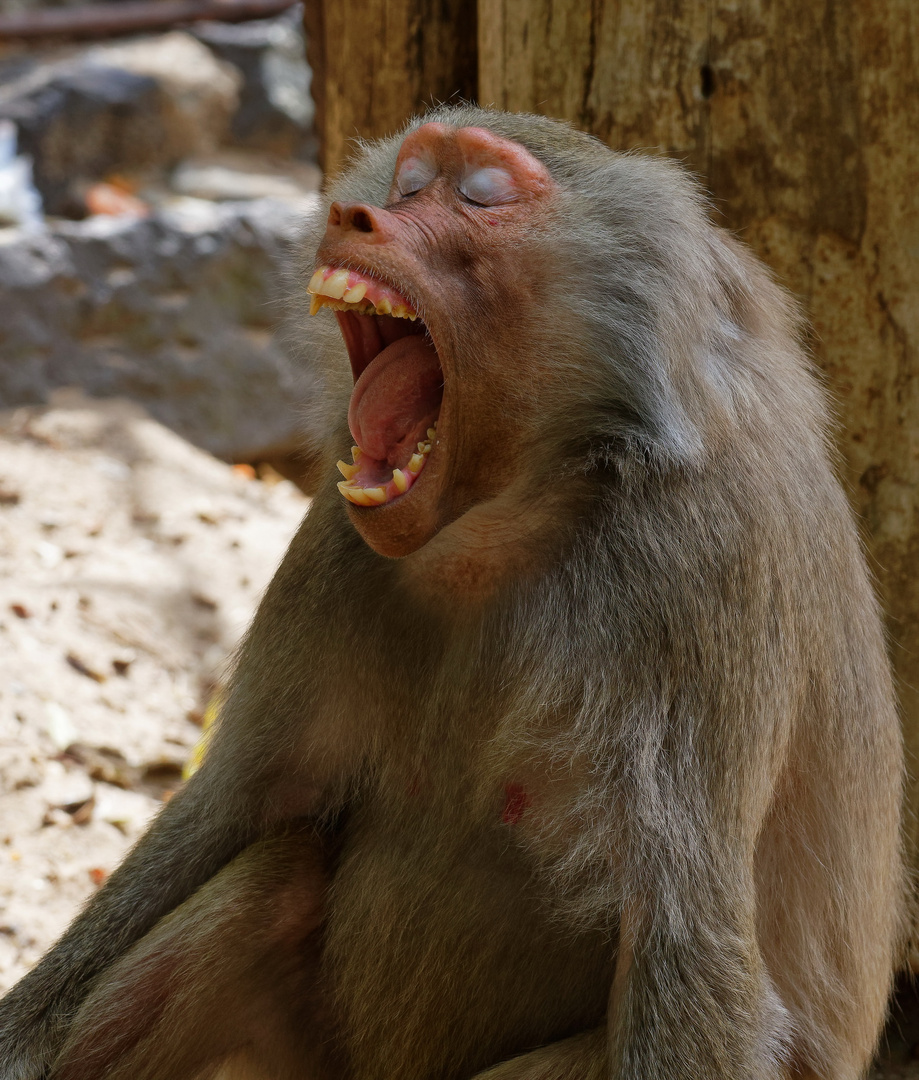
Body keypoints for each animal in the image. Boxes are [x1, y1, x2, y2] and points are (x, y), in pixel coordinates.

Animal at [0, 107, 907, 1080]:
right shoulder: (336, 537)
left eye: (479, 195)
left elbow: (685, 946)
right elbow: (237, 805)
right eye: (409, 182)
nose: (352, 216)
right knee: (273, 878)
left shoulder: (697, 568)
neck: (519, 516)